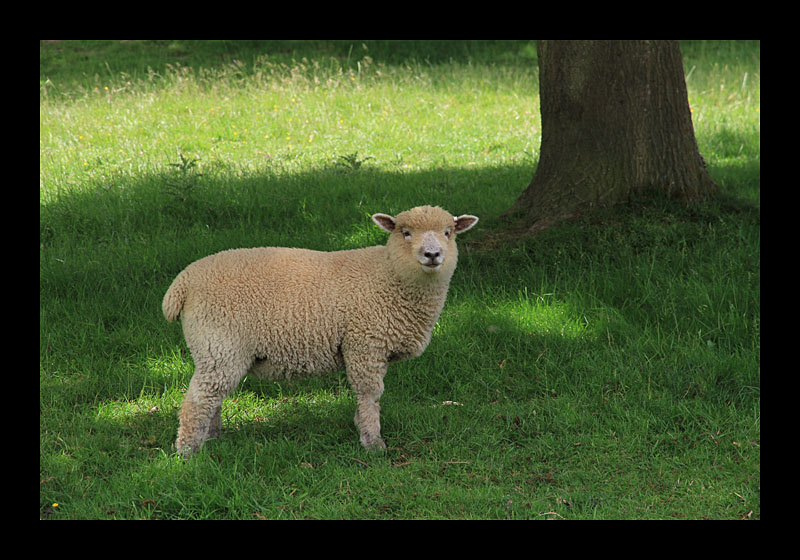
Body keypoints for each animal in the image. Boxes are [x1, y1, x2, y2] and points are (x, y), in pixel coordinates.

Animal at [162, 206, 476, 456]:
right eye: (406, 232)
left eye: (448, 232)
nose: (432, 254)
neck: (390, 276)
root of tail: (183, 282)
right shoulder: (364, 344)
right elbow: (370, 394)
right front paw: (372, 442)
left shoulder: (368, 347)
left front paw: (360, 426)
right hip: (219, 342)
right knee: (199, 400)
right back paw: (188, 452)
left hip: (217, 350)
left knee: (214, 396)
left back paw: (213, 437)